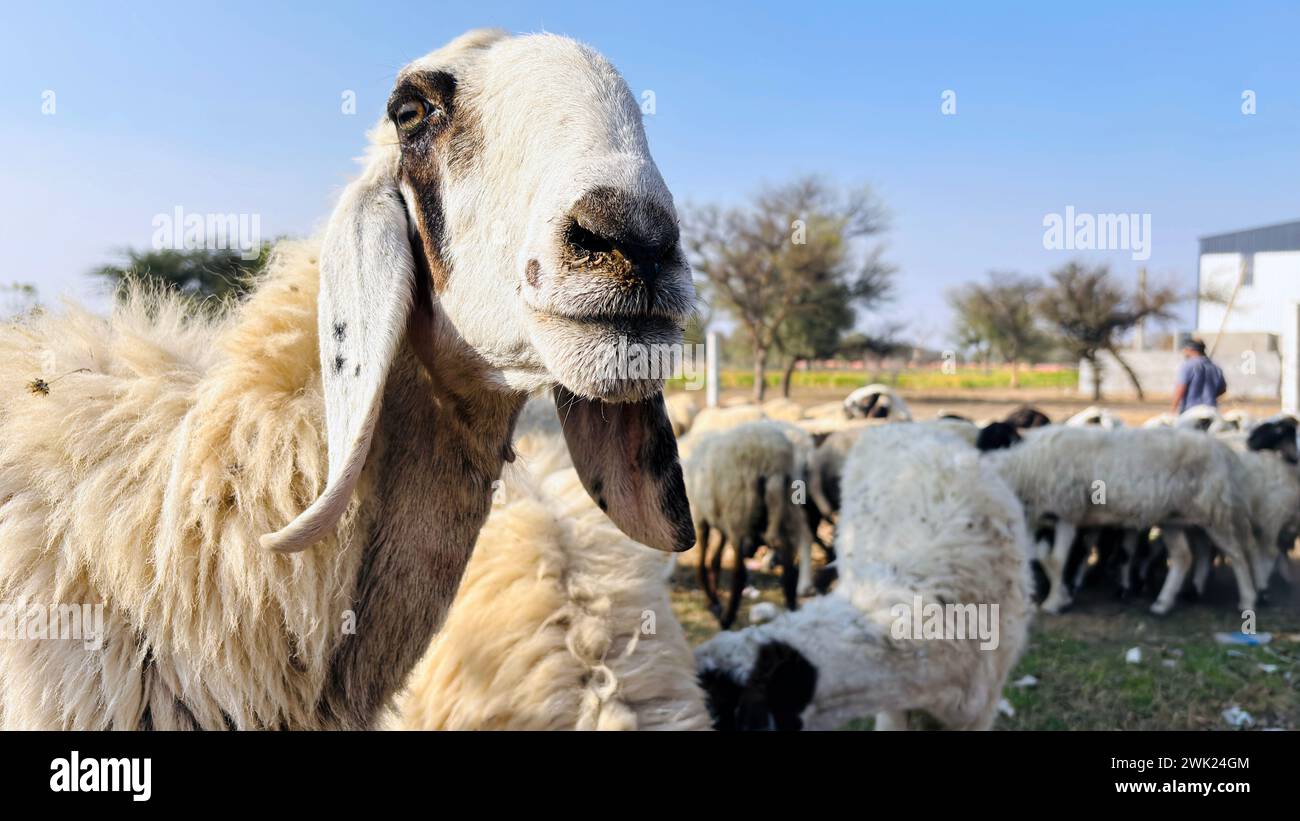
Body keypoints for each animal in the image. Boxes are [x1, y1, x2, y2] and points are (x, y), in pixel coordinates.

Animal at [684, 421, 812, 628]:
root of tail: (772, 464)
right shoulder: (720, 519)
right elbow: (716, 560)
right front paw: (715, 600)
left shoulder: (700, 517)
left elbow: (702, 564)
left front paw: (713, 602)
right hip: (787, 509)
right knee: (788, 564)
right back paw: (792, 608)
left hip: (740, 512)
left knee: (739, 574)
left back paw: (727, 618)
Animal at [982, 426, 1262, 615]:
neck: (1025, 469)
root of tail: (1223, 450)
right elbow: (1035, 557)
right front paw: (1059, 596)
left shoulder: (1068, 510)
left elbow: (1054, 560)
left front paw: (1053, 603)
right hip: (1175, 518)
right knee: (1184, 557)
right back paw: (1162, 604)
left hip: (1216, 513)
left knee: (1238, 555)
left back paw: (1248, 600)